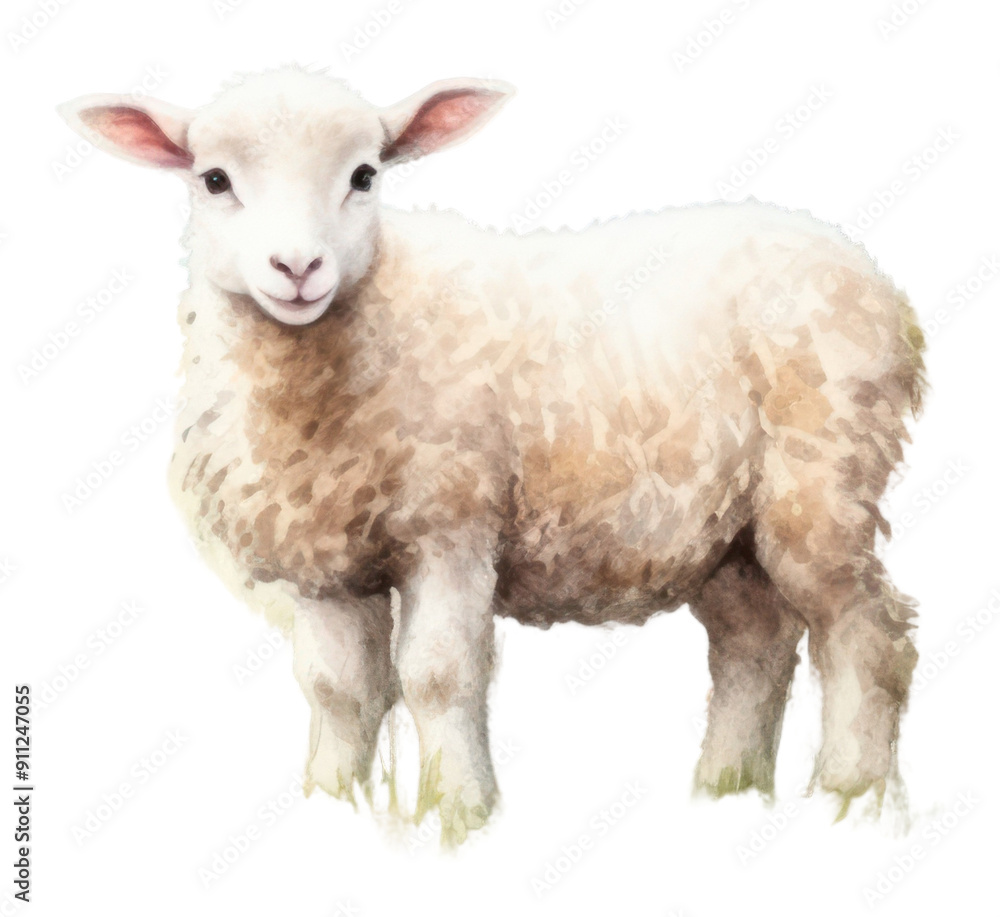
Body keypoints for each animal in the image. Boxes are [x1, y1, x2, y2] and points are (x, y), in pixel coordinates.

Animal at [59, 65, 926, 844]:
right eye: (213, 179)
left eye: (365, 174)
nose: (297, 268)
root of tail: (871, 275)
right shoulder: (324, 560)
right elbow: (337, 690)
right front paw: (334, 806)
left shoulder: (452, 524)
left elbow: (437, 674)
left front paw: (460, 811)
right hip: (724, 527)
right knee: (755, 643)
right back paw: (725, 790)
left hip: (822, 478)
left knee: (866, 633)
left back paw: (849, 795)